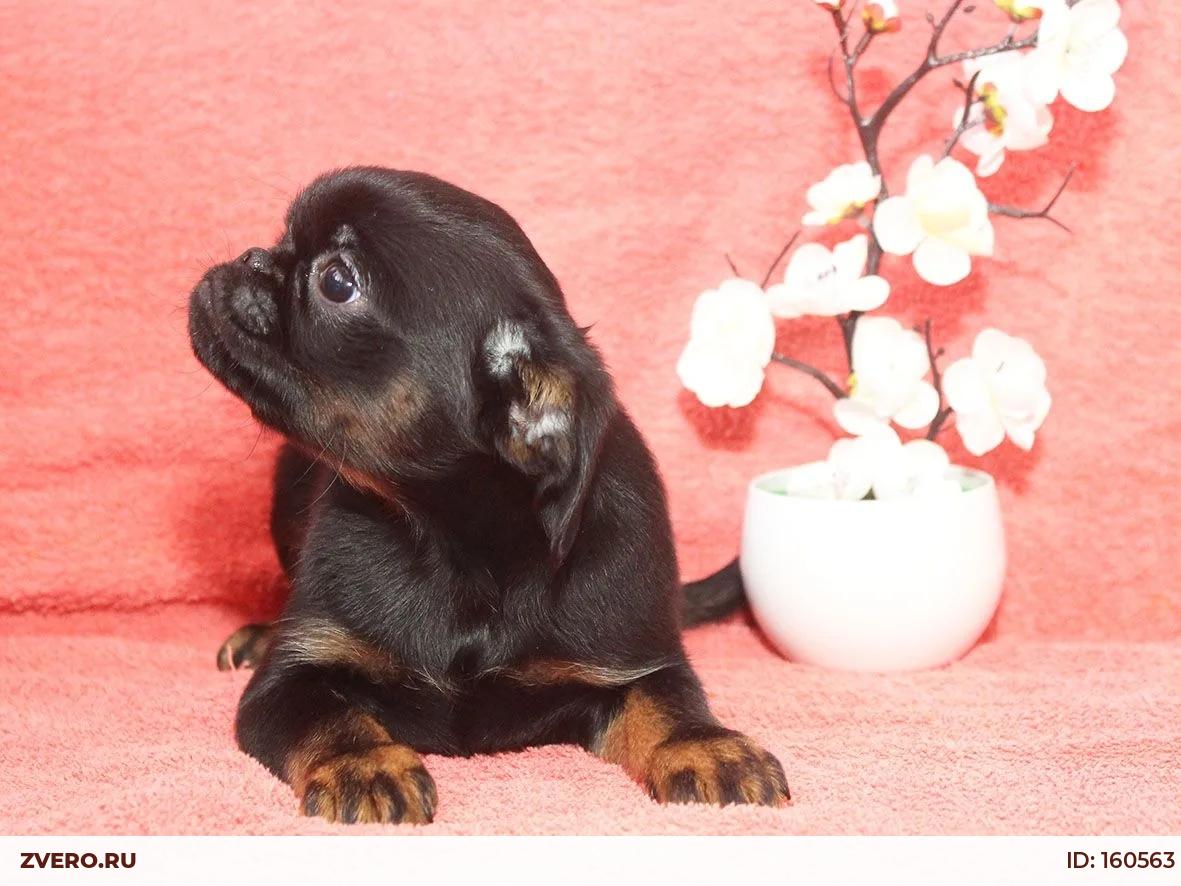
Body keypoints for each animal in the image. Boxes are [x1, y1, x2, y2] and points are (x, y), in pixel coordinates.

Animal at [188, 167, 788, 824]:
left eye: (337, 282)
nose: (252, 258)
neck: (462, 540)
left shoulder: (637, 664)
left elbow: (670, 705)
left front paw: (708, 747)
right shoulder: (290, 681)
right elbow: (332, 719)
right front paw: (363, 764)